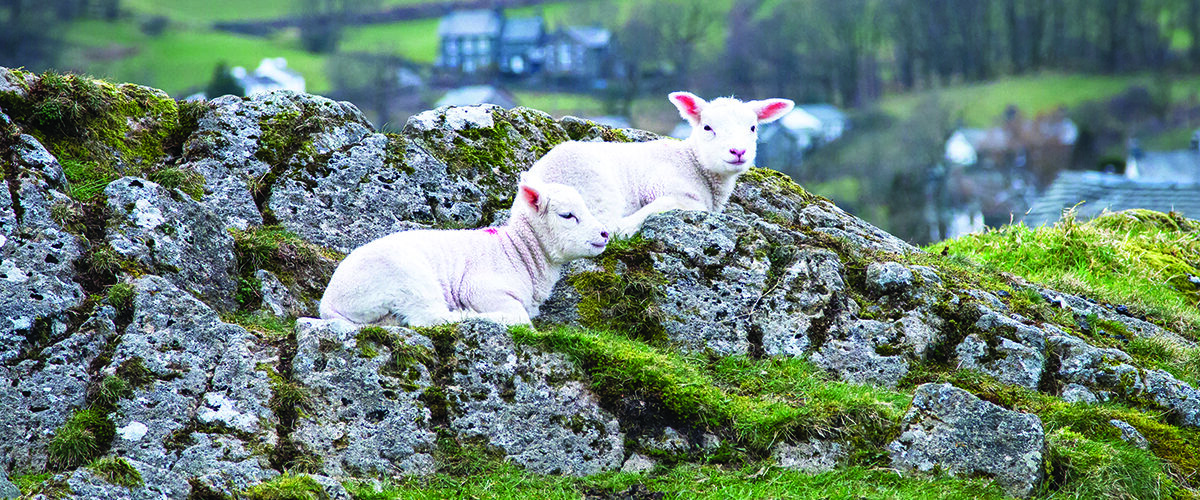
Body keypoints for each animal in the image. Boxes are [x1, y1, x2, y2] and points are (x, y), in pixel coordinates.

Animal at [319, 176, 610, 326]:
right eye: (567, 215)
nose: (605, 234)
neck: (518, 251)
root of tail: (329, 302)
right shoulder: (480, 288)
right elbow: (520, 317)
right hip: (408, 278)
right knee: (429, 318)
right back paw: (468, 316)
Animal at [526, 91, 794, 236]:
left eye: (753, 128)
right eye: (707, 127)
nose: (738, 151)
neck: (692, 162)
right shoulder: (664, 185)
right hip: (597, 190)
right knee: (612, 228)